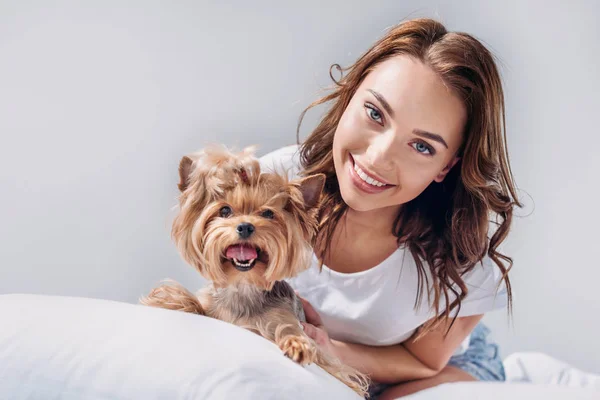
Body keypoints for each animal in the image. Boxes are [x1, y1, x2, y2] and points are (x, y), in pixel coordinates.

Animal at [141, 145, 368, 396]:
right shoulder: (213, 308)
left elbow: (293, 333)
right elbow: (195, 304)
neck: (244, 285)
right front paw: (170, 300)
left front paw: (297, 344)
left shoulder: (284, 319)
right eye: (225, 211)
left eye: (268, 214)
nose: (245, 226)